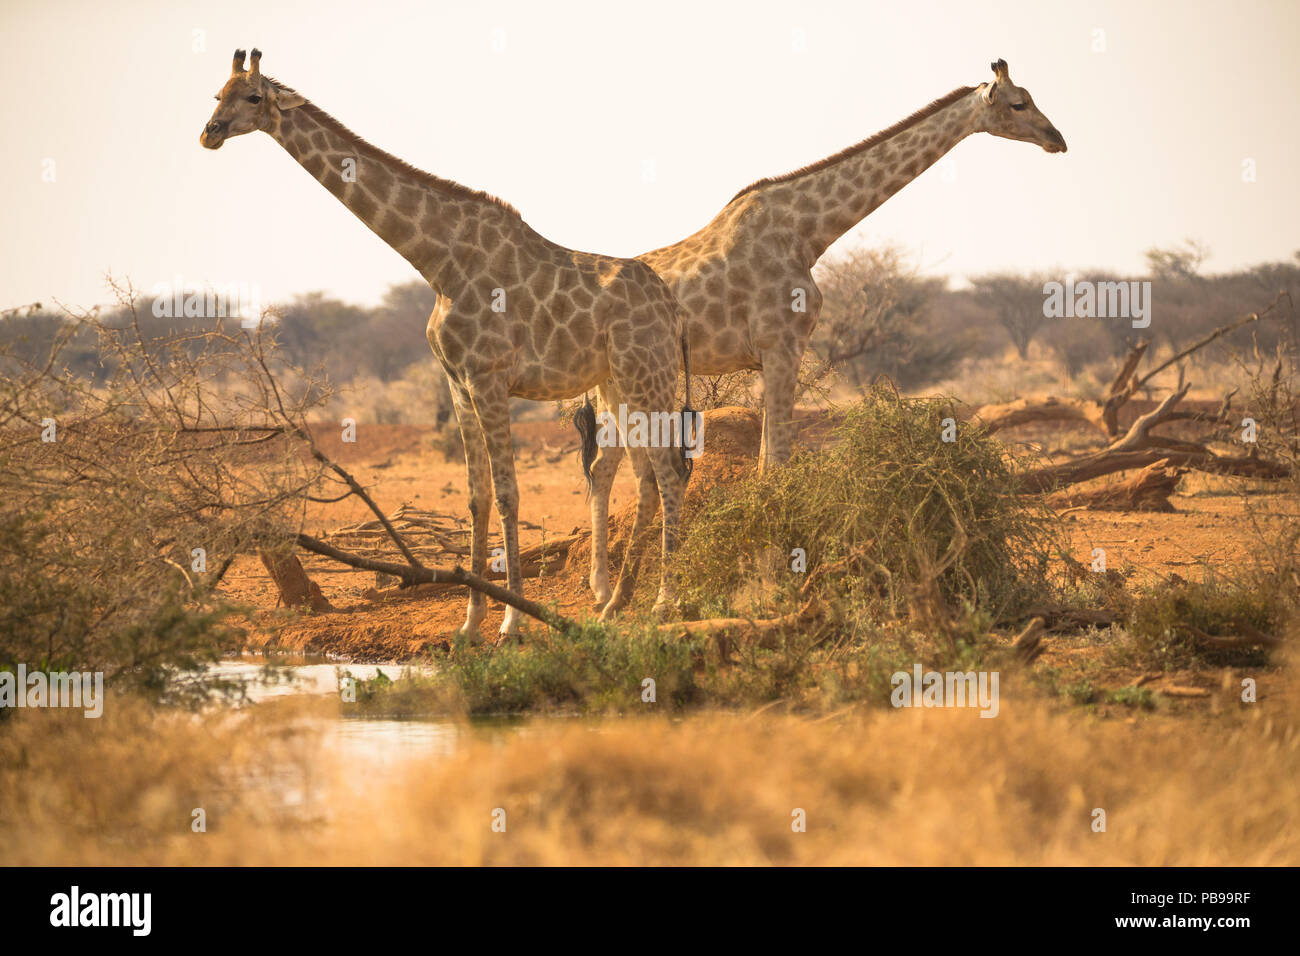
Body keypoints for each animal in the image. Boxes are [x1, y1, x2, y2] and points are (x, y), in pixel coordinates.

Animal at [198, 48, 691, 639]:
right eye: (216, 94)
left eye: (252, 97)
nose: (209, 133)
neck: (438, 262)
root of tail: (672, 308)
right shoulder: (457, 382)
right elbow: (478, 498)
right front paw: (470, 624)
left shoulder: (489, 377)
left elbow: (508, 493)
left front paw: (511, 622)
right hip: (618, 385)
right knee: (646, 477)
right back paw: (617, 603)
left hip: (649, 377)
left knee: (669, 472)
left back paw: (664, 602)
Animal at [587, 57, 1066, 606]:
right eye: (1019, 103)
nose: (1057, 139)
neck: (809, 232)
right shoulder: (783, 346)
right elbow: (775, 462)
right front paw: (772, 578)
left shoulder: (775, 354)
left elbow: (765, 462)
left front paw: (761, 570)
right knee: (626, 468)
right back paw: (634, 591)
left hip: (615, 383)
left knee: (605, 468)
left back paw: (605, 589)